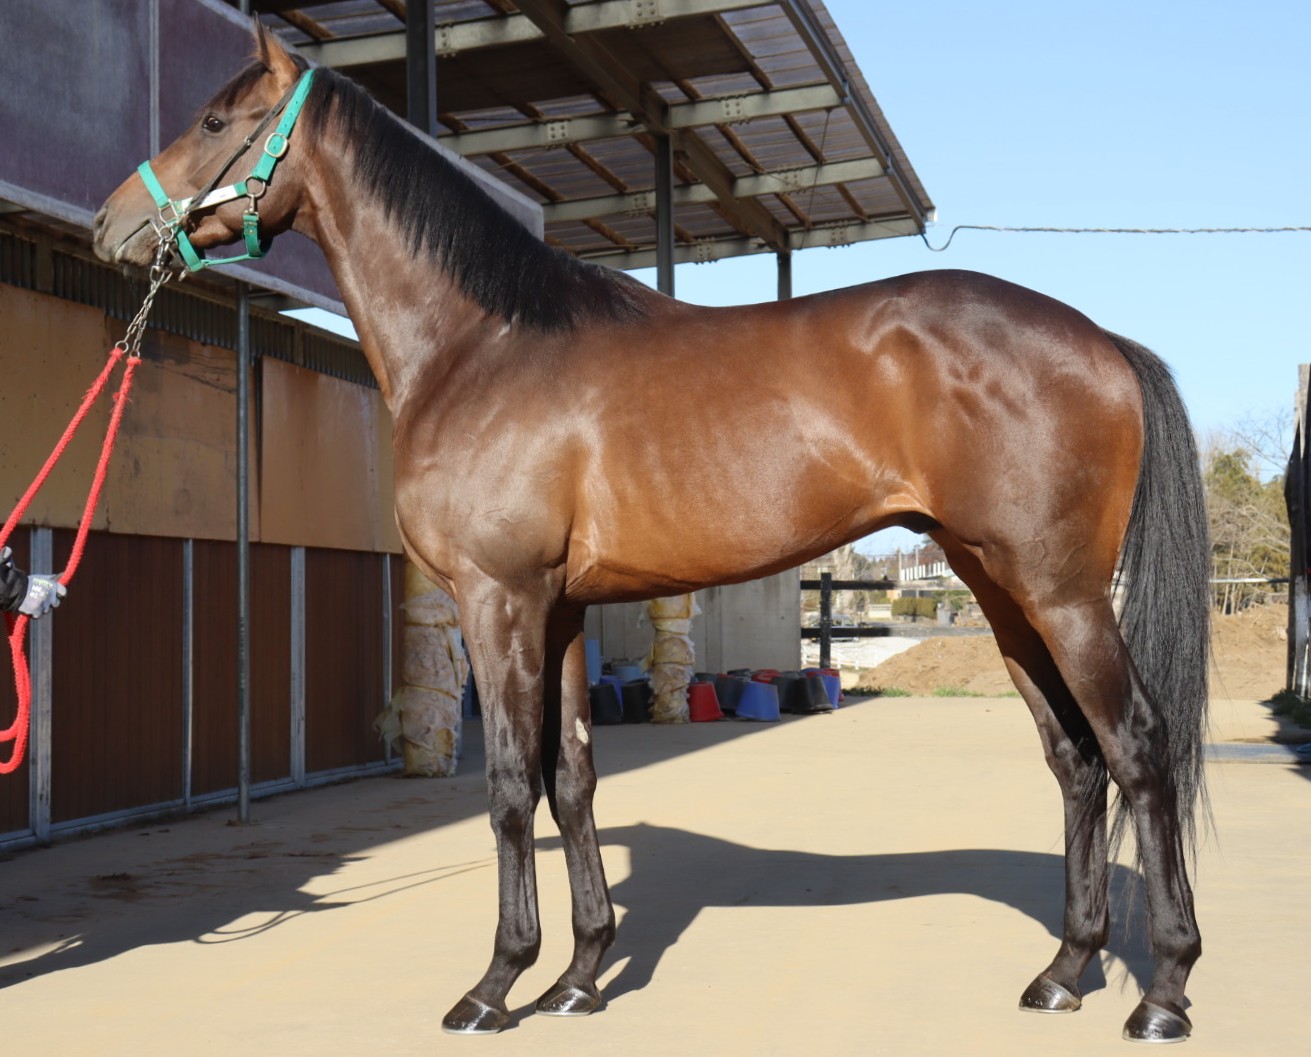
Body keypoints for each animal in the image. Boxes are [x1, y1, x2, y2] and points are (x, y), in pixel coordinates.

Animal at [93, 23, 1210, 1044]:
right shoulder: (560, 611)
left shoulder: (499, 601)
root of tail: (1100, 340)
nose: (112, 226)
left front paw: (495, 985)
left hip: (1060, 594)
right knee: (1075, 758)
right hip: (1000, 589)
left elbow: (509, 784)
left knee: (1136, 745)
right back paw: (1063, 971)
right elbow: (573, 777)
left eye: (216, 123)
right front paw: (580, 975)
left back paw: (1160, 992)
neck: (484, 346)